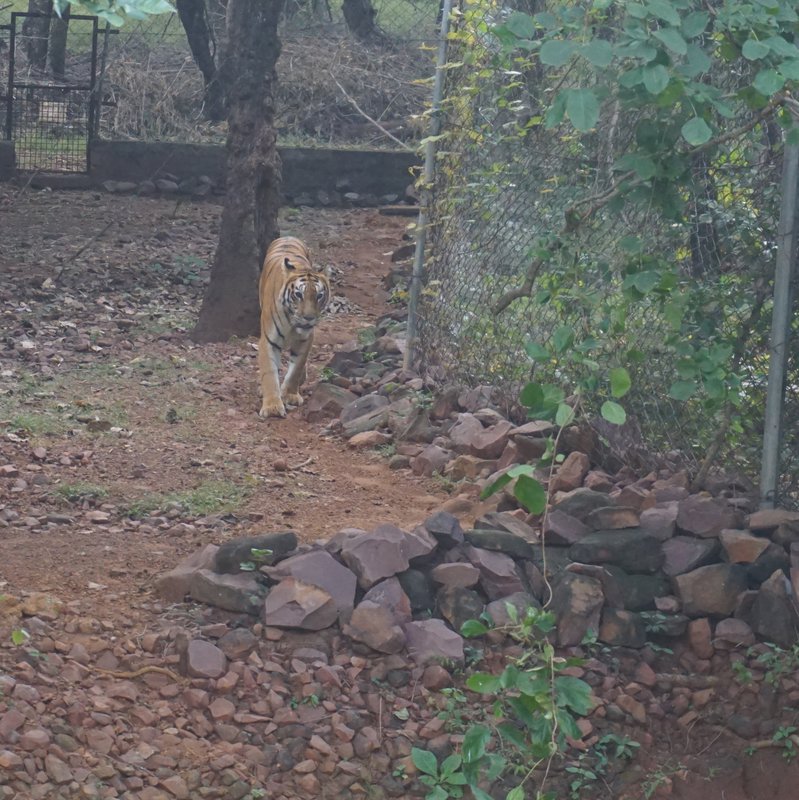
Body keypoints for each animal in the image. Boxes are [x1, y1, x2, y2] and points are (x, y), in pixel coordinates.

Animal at [258, 236, 330, 418]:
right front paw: (272, 406)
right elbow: (269, 372)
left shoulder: (306, 339)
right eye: (299, 294)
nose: (309, 318)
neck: (292, 323)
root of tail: (288, 236)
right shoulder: (268, 341)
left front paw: (290, 395)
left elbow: (296, 368)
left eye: (319, 295)